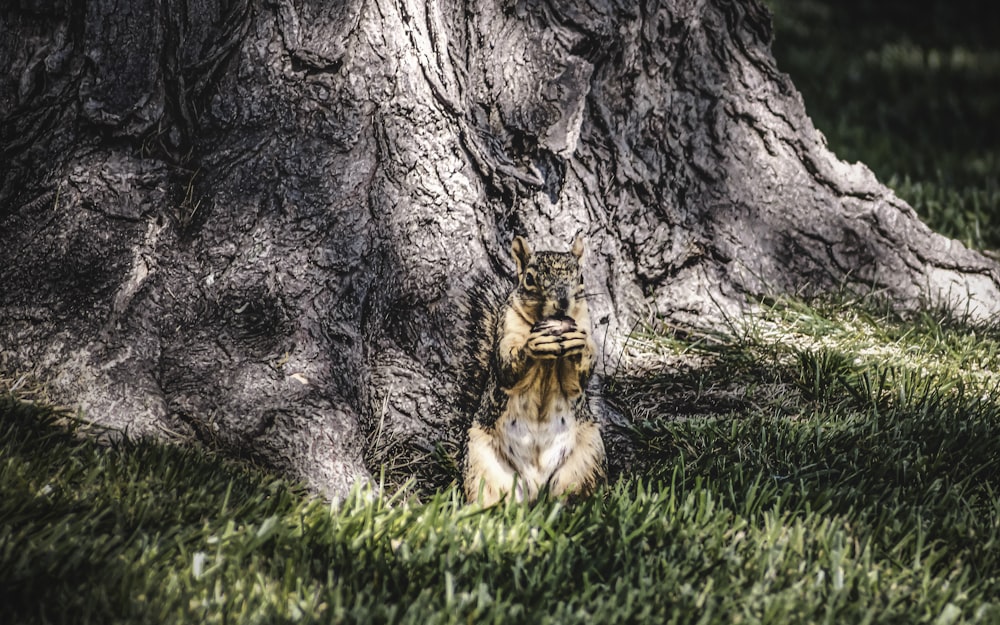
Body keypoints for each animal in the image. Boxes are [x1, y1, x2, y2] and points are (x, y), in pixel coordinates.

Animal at [464, 236, 604, 504]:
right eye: (529, 278)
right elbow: (507, 365)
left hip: (587, 459)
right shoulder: (507, 328)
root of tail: (536, 486)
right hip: (481, 463)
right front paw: (533, 345)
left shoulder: (584, 326)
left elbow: (581, 376)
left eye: (581, 277)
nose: (562, 302)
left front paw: (578, 345)